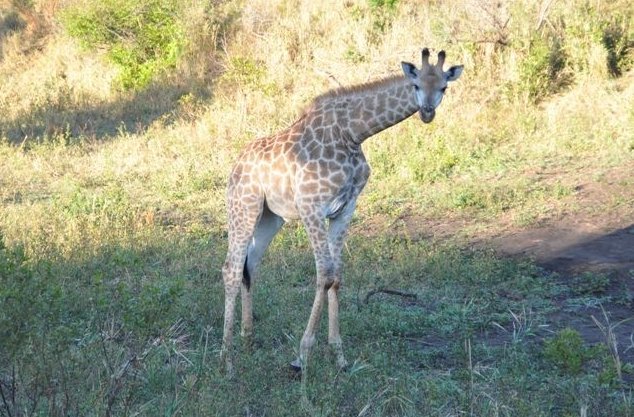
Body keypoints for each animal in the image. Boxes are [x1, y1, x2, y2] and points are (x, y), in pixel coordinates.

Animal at [220, 47, 462, 372]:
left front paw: (339, 355)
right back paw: (227, 358)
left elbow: (336, 276)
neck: (353, 133)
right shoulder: (311, 206)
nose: (427, 112)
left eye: (444, 87)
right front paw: (302, 356)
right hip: (243, 206)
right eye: (415, 85)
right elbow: (324, 273)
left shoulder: (345, 209)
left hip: (271, 217)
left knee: (251, 264)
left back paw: (247, 339)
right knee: (231, 268)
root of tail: (235, 165)